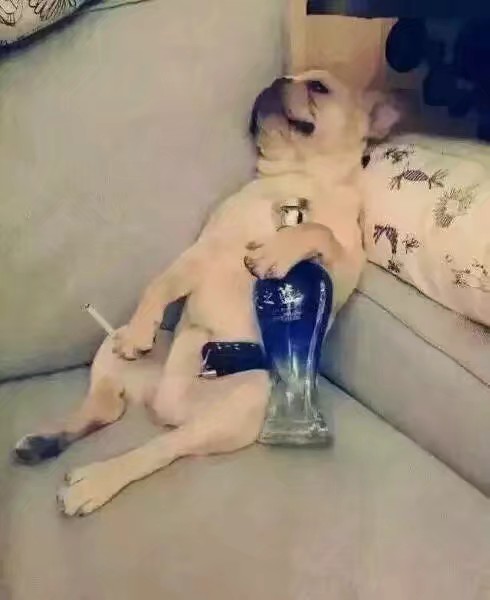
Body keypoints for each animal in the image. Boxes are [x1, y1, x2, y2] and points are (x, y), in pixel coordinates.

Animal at [13, 70, 399, 516]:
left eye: (319, 87)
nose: (278, 78)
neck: (296, 177)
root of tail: (165, 405)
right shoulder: (201, 253)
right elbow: (161, 282)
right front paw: (142, 329)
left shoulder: (340, 267)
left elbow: (317, 231)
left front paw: (278, 250)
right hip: (112, 349)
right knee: (107, 406)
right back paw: (48, 443)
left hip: (239, 406)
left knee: (159, 446)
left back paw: (93, 479)